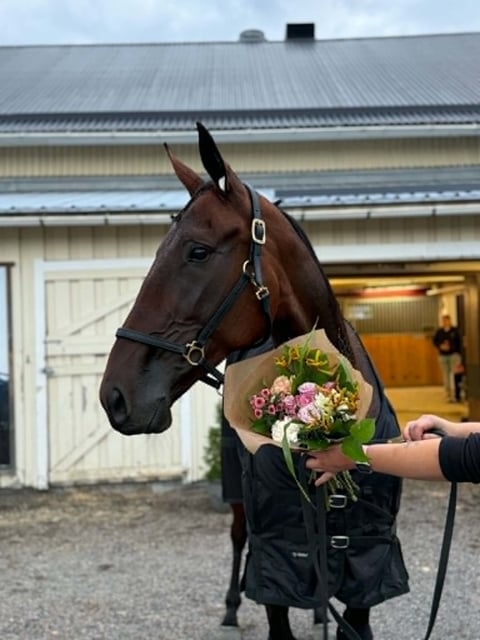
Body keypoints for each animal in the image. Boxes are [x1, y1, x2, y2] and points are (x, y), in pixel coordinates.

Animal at [99, 122, 409, 640]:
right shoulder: (276, 561)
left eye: (197, 251)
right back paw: (230, 607)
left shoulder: (369, 565)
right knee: (237, 537)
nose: (115, 396)